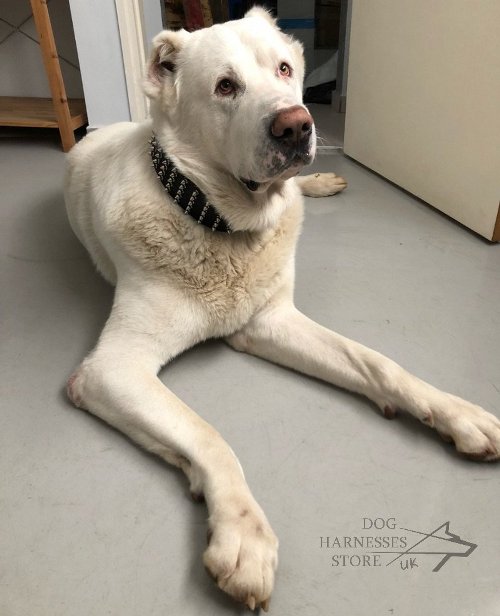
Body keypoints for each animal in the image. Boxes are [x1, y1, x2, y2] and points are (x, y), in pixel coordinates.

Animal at [64, 8, 498, 612]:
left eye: (285, 69)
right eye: (225, 86)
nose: (296, 125)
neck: (221, 222)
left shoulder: (270, 321)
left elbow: (378, 362)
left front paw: (456, 412)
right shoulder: (110, 369)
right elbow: (208, 436)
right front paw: (243, 536)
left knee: (300, 191)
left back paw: (322, 181)